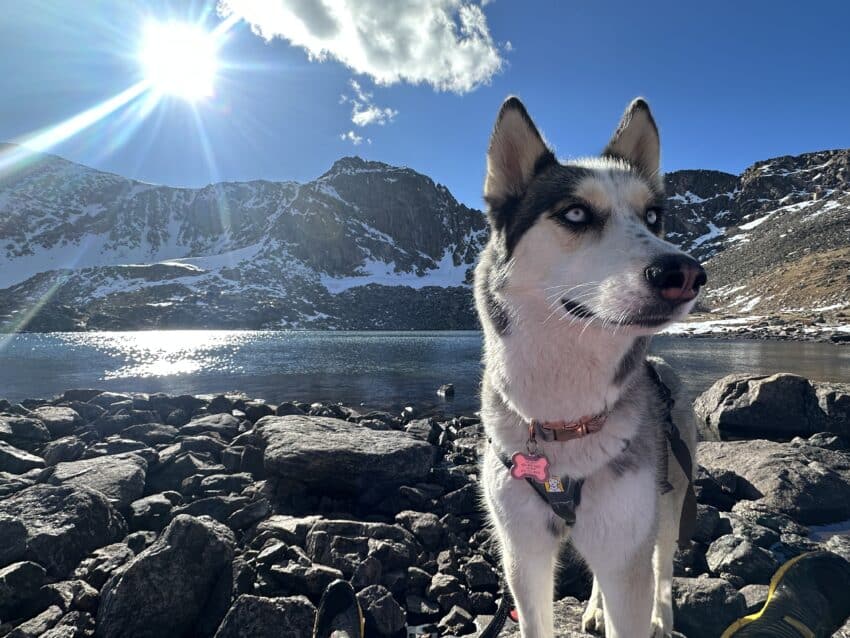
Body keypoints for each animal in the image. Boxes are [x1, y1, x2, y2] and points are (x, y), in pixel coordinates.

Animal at [476, 96, 704, 638]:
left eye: (653, 215)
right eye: (576, 213)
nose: (684, 272)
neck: (564, 421)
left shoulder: (627, 547)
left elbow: (640, 584)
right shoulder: (524, 555)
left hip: (669, 500)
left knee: (664, 565)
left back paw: (663, 618)